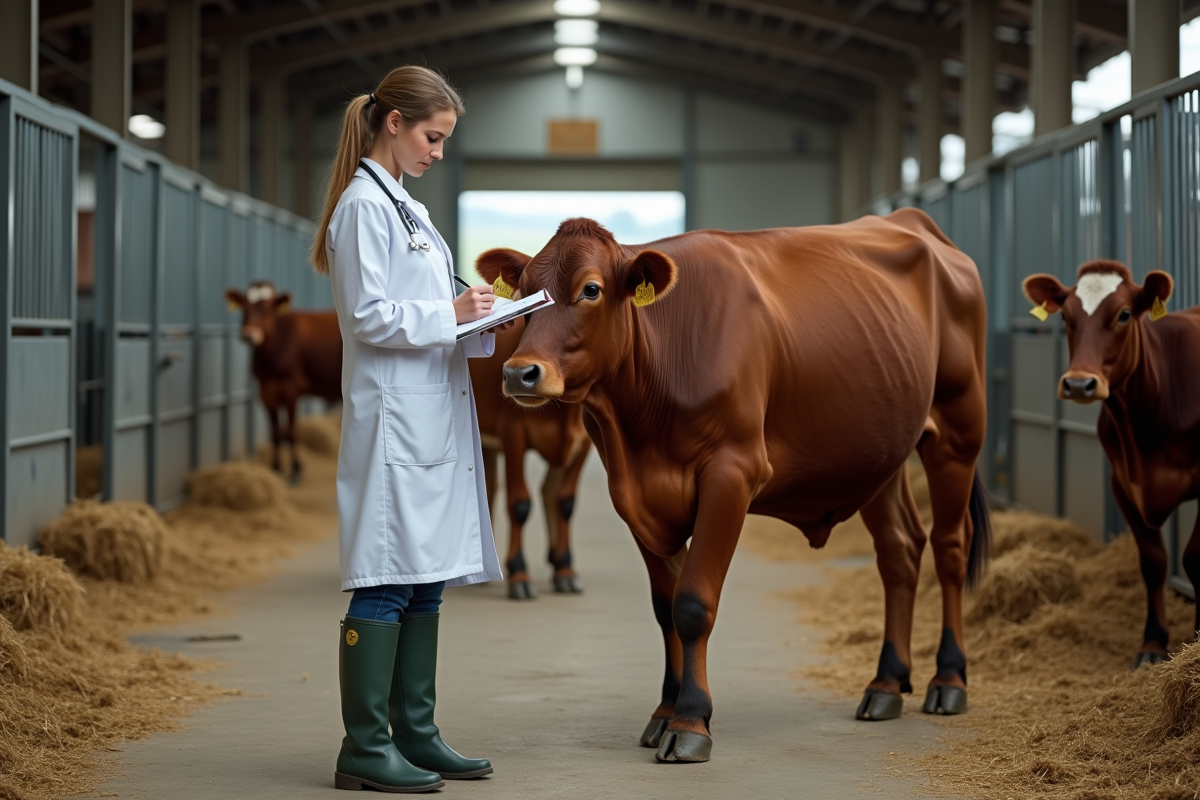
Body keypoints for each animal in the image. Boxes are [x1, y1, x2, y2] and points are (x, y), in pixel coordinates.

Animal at [224, 281, 342, 481]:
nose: (249, 335)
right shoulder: (266, 391)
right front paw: (276, 468)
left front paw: (296, 470)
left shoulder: (290, 389)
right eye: (244, 306)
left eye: (268, 308)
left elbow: (292, 432)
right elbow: (276, 433)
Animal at [471, 317, 592, 599]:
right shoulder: (513, 432)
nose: (517, 375)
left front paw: (566, 571)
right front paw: (519, 574)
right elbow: (519, 504)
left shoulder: (584, 442)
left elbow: (565, 502)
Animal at [1022, 260, 1200, 669]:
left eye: (1124, 315)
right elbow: (1153, 561)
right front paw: (1153, 644)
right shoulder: (1123, 484)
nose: (1078, 384)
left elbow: (1195, 558)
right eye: (1066, 316)